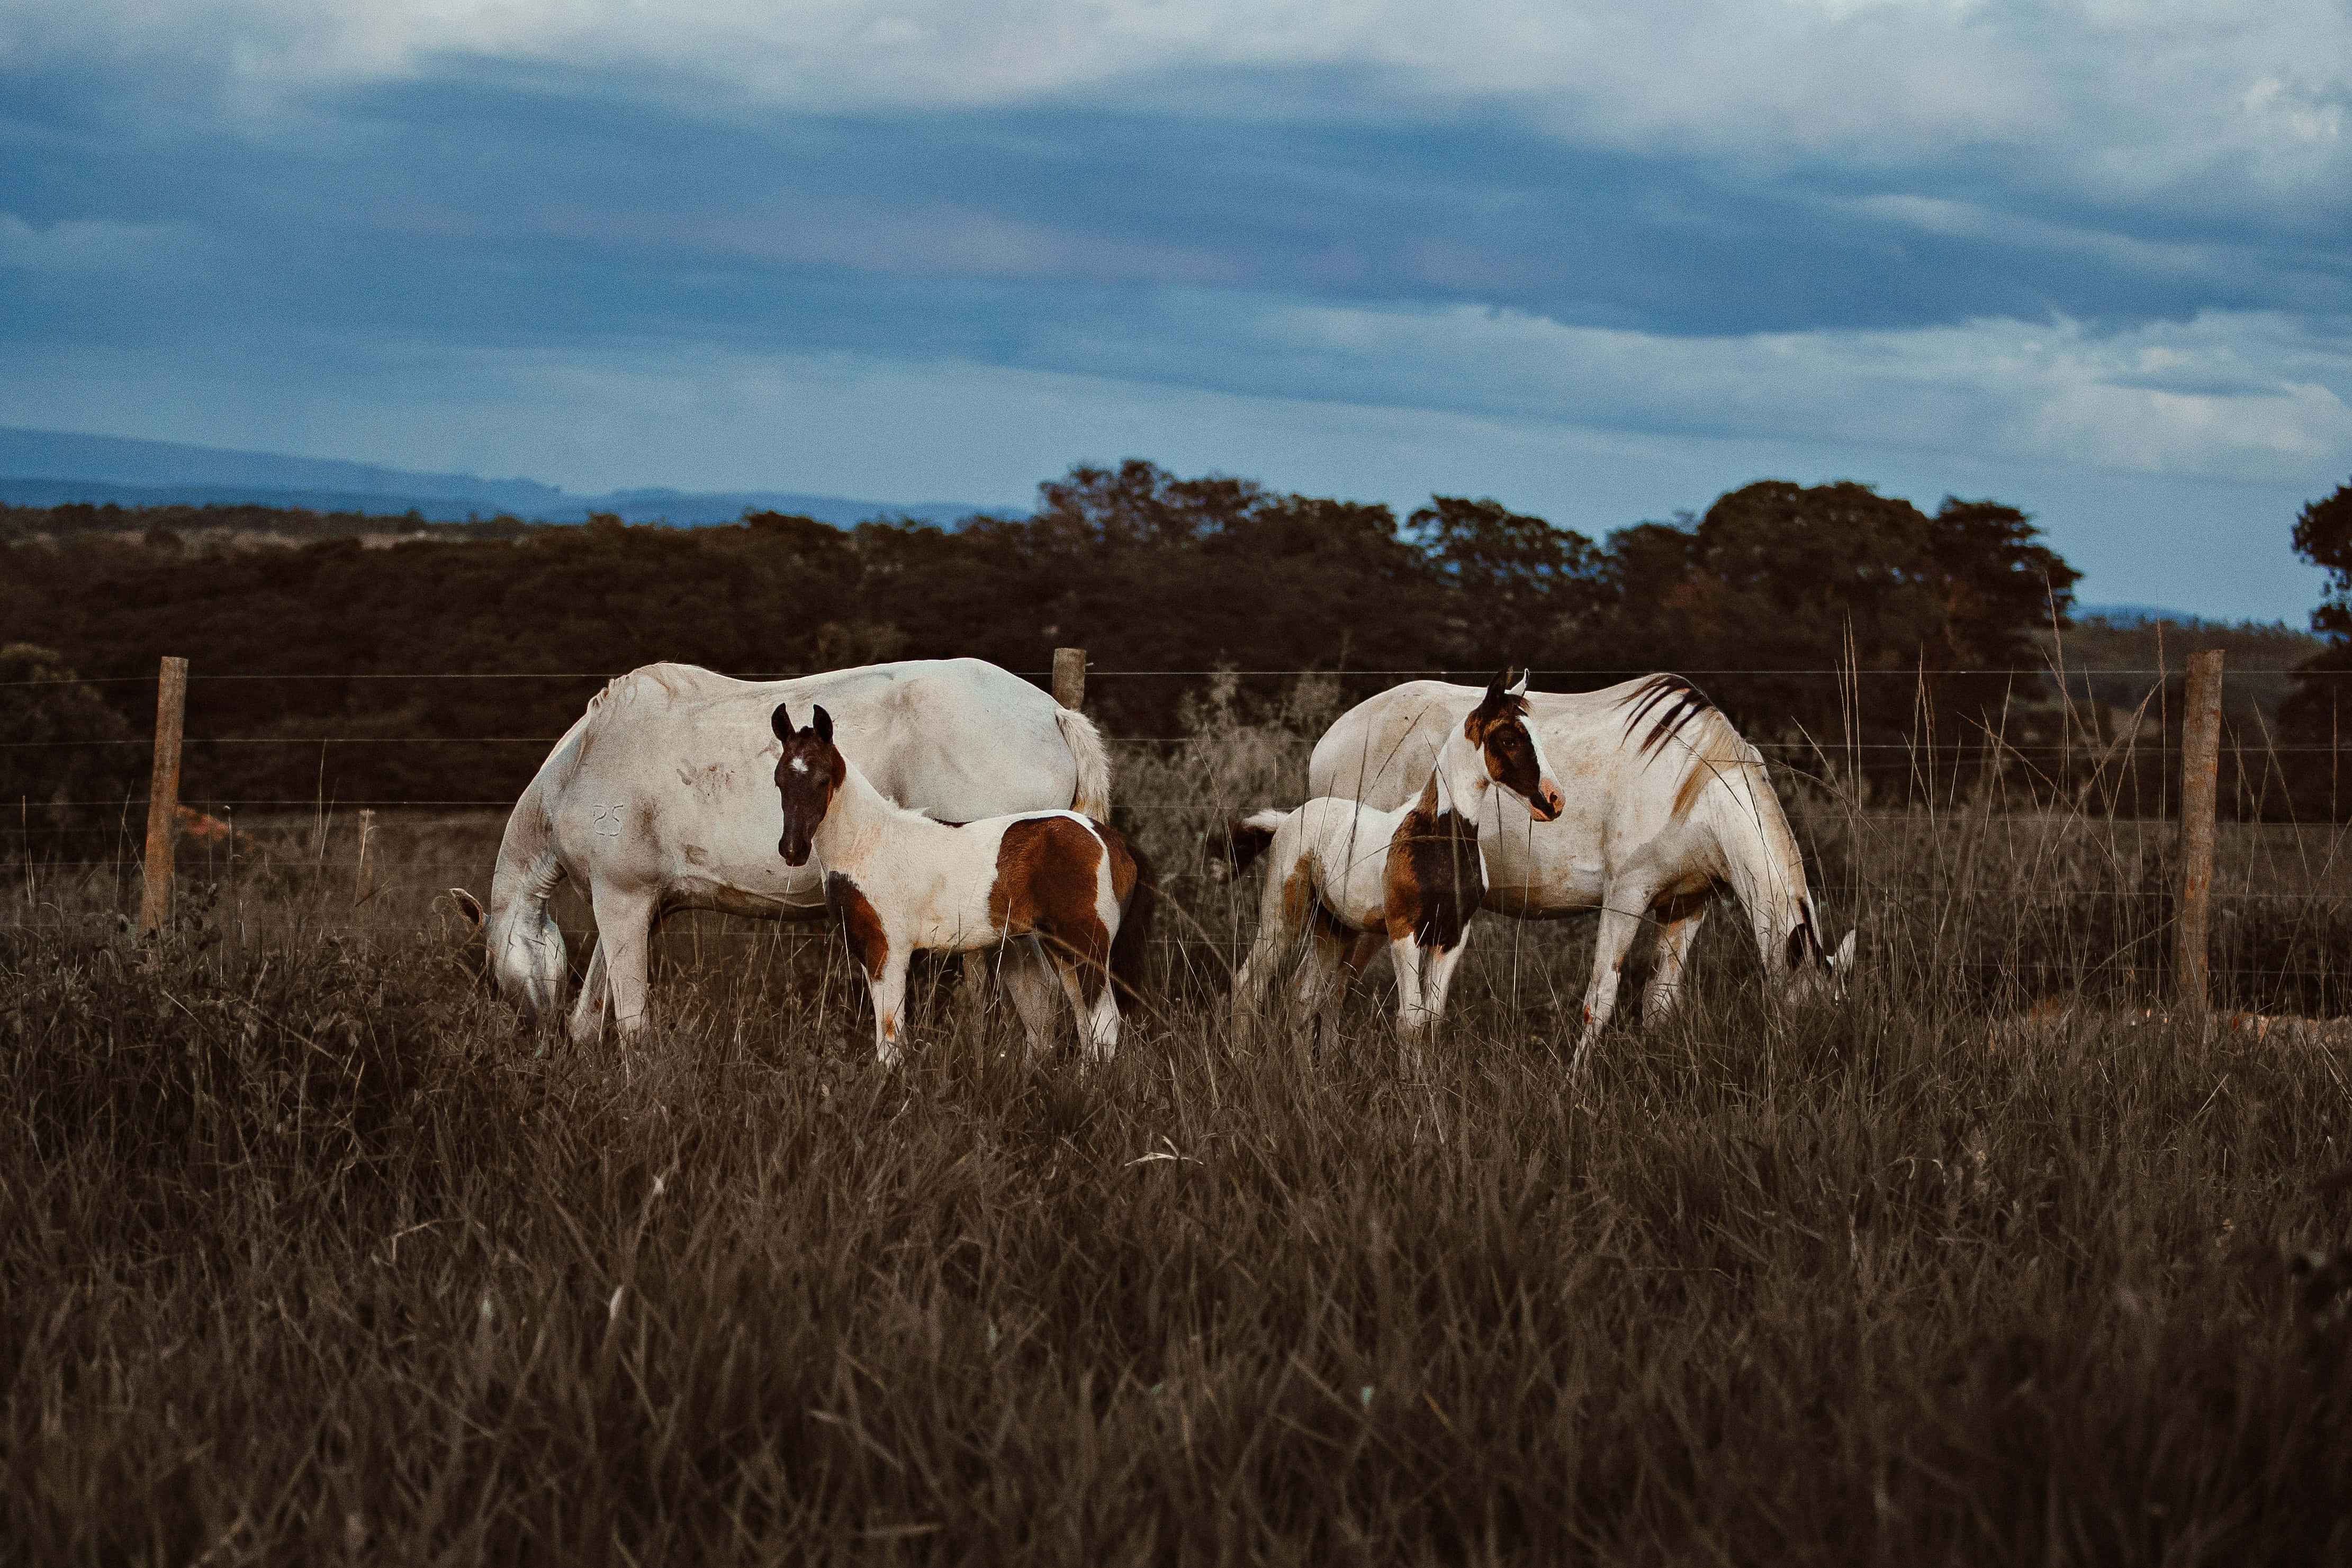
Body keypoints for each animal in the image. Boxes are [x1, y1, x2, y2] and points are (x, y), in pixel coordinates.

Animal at [452, 657, 1111, 1045]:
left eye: (493, 973)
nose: (531, 1035)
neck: (580, 765)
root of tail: (1054, 712)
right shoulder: (639, 908)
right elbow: (592, 1008)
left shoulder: (620, 900)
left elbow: (632, 1018)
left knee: (1040, 998)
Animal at [771, 702, 1154, 1066]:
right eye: (778, 781)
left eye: (823, 779)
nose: (792, 850)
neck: (867, 843)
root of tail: (1110, 840)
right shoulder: (868, 951)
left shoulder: (889, 950)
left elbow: (890, 1036)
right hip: (1063, 949)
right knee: (1085, 1023)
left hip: (1088, 945)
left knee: (1104, 1024)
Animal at [1222, 672, 1565, 1059]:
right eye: (1509, 738)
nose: (1554, 800)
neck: (1435, 836)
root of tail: (1287, 821)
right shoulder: (1404, 932)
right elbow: (1410, 1022)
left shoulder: (1452, 936)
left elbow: (1431, 1021)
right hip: (1283, 917)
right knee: (1249, 983)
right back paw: (1241, 1062)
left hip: (1334, 928)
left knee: (1302, 998)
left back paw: (1309, 1076)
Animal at [1307, 673, 1853, 1074]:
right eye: (1805, 1017)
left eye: (1836, 1017)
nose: (1817, 1071)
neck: (1695, 785)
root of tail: (1327, 742)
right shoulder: (1626, 896)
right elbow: (1601, 999)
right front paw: (1575, 1084)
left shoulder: (1687, 906)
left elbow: (1659, 1005)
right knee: (1327, 986)